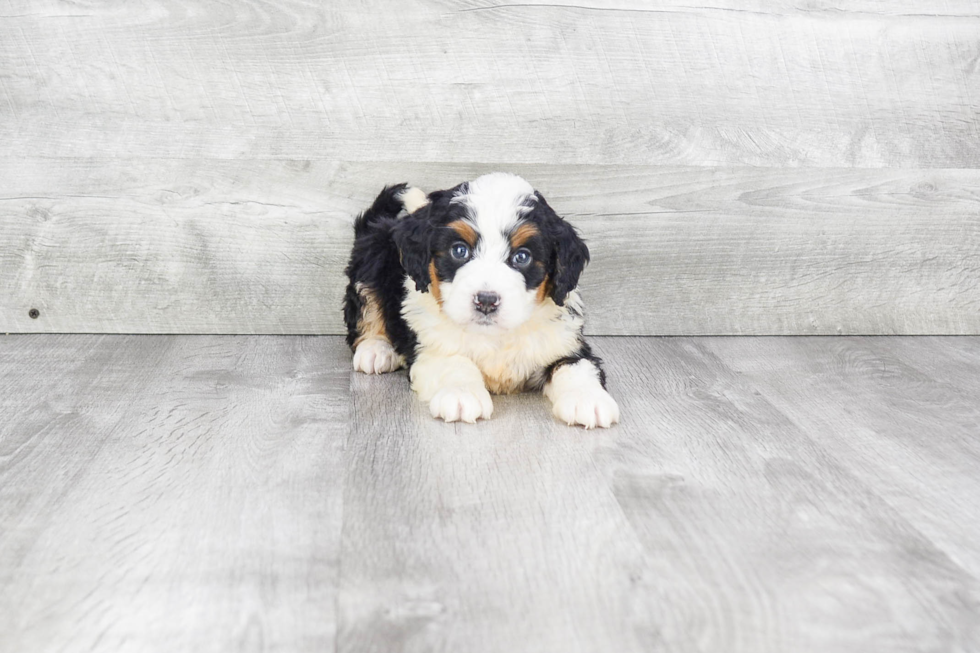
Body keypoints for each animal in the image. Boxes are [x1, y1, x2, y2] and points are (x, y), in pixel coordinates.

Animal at [344, 172, 620, 428]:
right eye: (459, 251)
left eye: (522, 257)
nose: (486, 301)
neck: (494, 337)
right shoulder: (429, 346)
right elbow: (453, 361)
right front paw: (461, 394)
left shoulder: (564, 341)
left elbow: (576, 366)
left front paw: (588, 400)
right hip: (370, 261)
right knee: (366, 311)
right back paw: (376, 350)